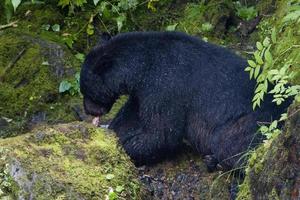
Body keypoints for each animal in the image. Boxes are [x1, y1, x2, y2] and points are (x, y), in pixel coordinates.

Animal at [80, 32, 288, 170]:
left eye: (86, 90)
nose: (89, 111)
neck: (143, 65)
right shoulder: (143, 91)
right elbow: (132, 114)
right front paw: (114, 131)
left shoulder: (165, 86)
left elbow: (162, 133)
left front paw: (124, 148)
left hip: (252, 121)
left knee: (230, 143)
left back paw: (215, 161)